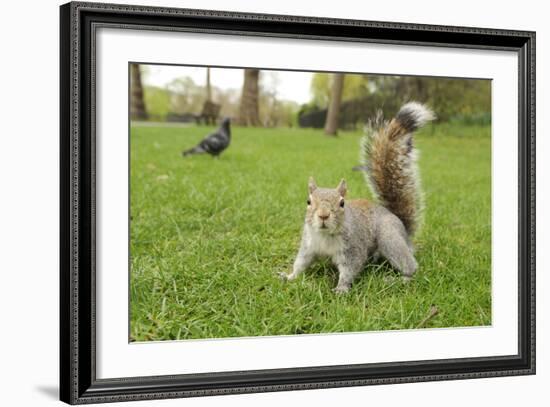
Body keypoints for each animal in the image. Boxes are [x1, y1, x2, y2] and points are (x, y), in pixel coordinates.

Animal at [282, 102, 438, 294]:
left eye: (342, 203)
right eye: (308, 202)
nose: (324, 215)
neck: (326, 236)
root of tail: (403, 228)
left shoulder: (353, 249)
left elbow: (350, 269)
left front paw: (341, 288)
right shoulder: (308, 245)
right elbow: (301, 263)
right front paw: (289, 276)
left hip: (389, 237)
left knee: (410, 266)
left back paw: (400, 279)